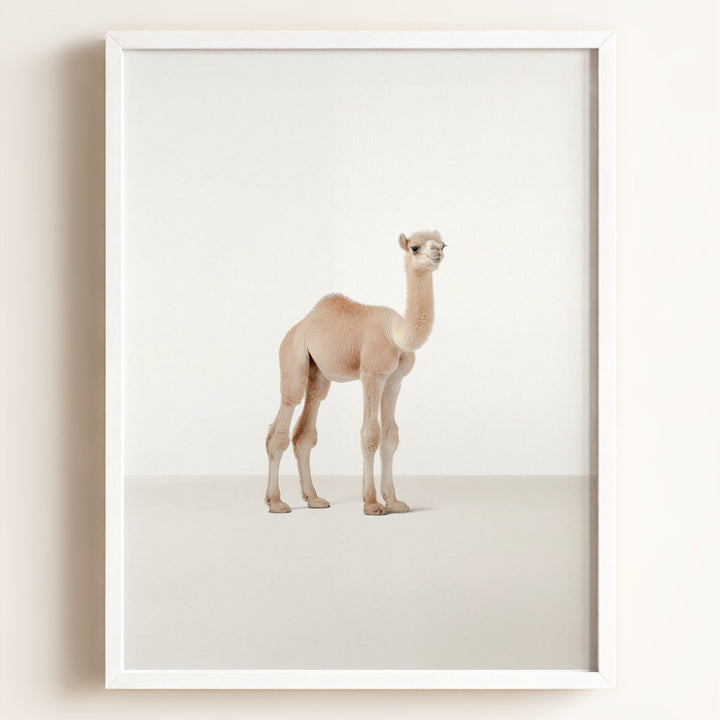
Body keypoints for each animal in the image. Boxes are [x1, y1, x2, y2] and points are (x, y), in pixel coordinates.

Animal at [265, 230, 445, 515]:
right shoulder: (372, 374)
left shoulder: (394, 380)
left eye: (443, 244)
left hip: (318, 374)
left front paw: (394, 501)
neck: (396, 334)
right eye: (415, 247)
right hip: (292, 357)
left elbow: (391, 436)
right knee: (284, 416)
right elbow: (370, 433)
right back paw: (276, 502)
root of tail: (298, 326)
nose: (437, 251)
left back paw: (314, 498)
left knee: (305, 430)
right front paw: (371, 503)